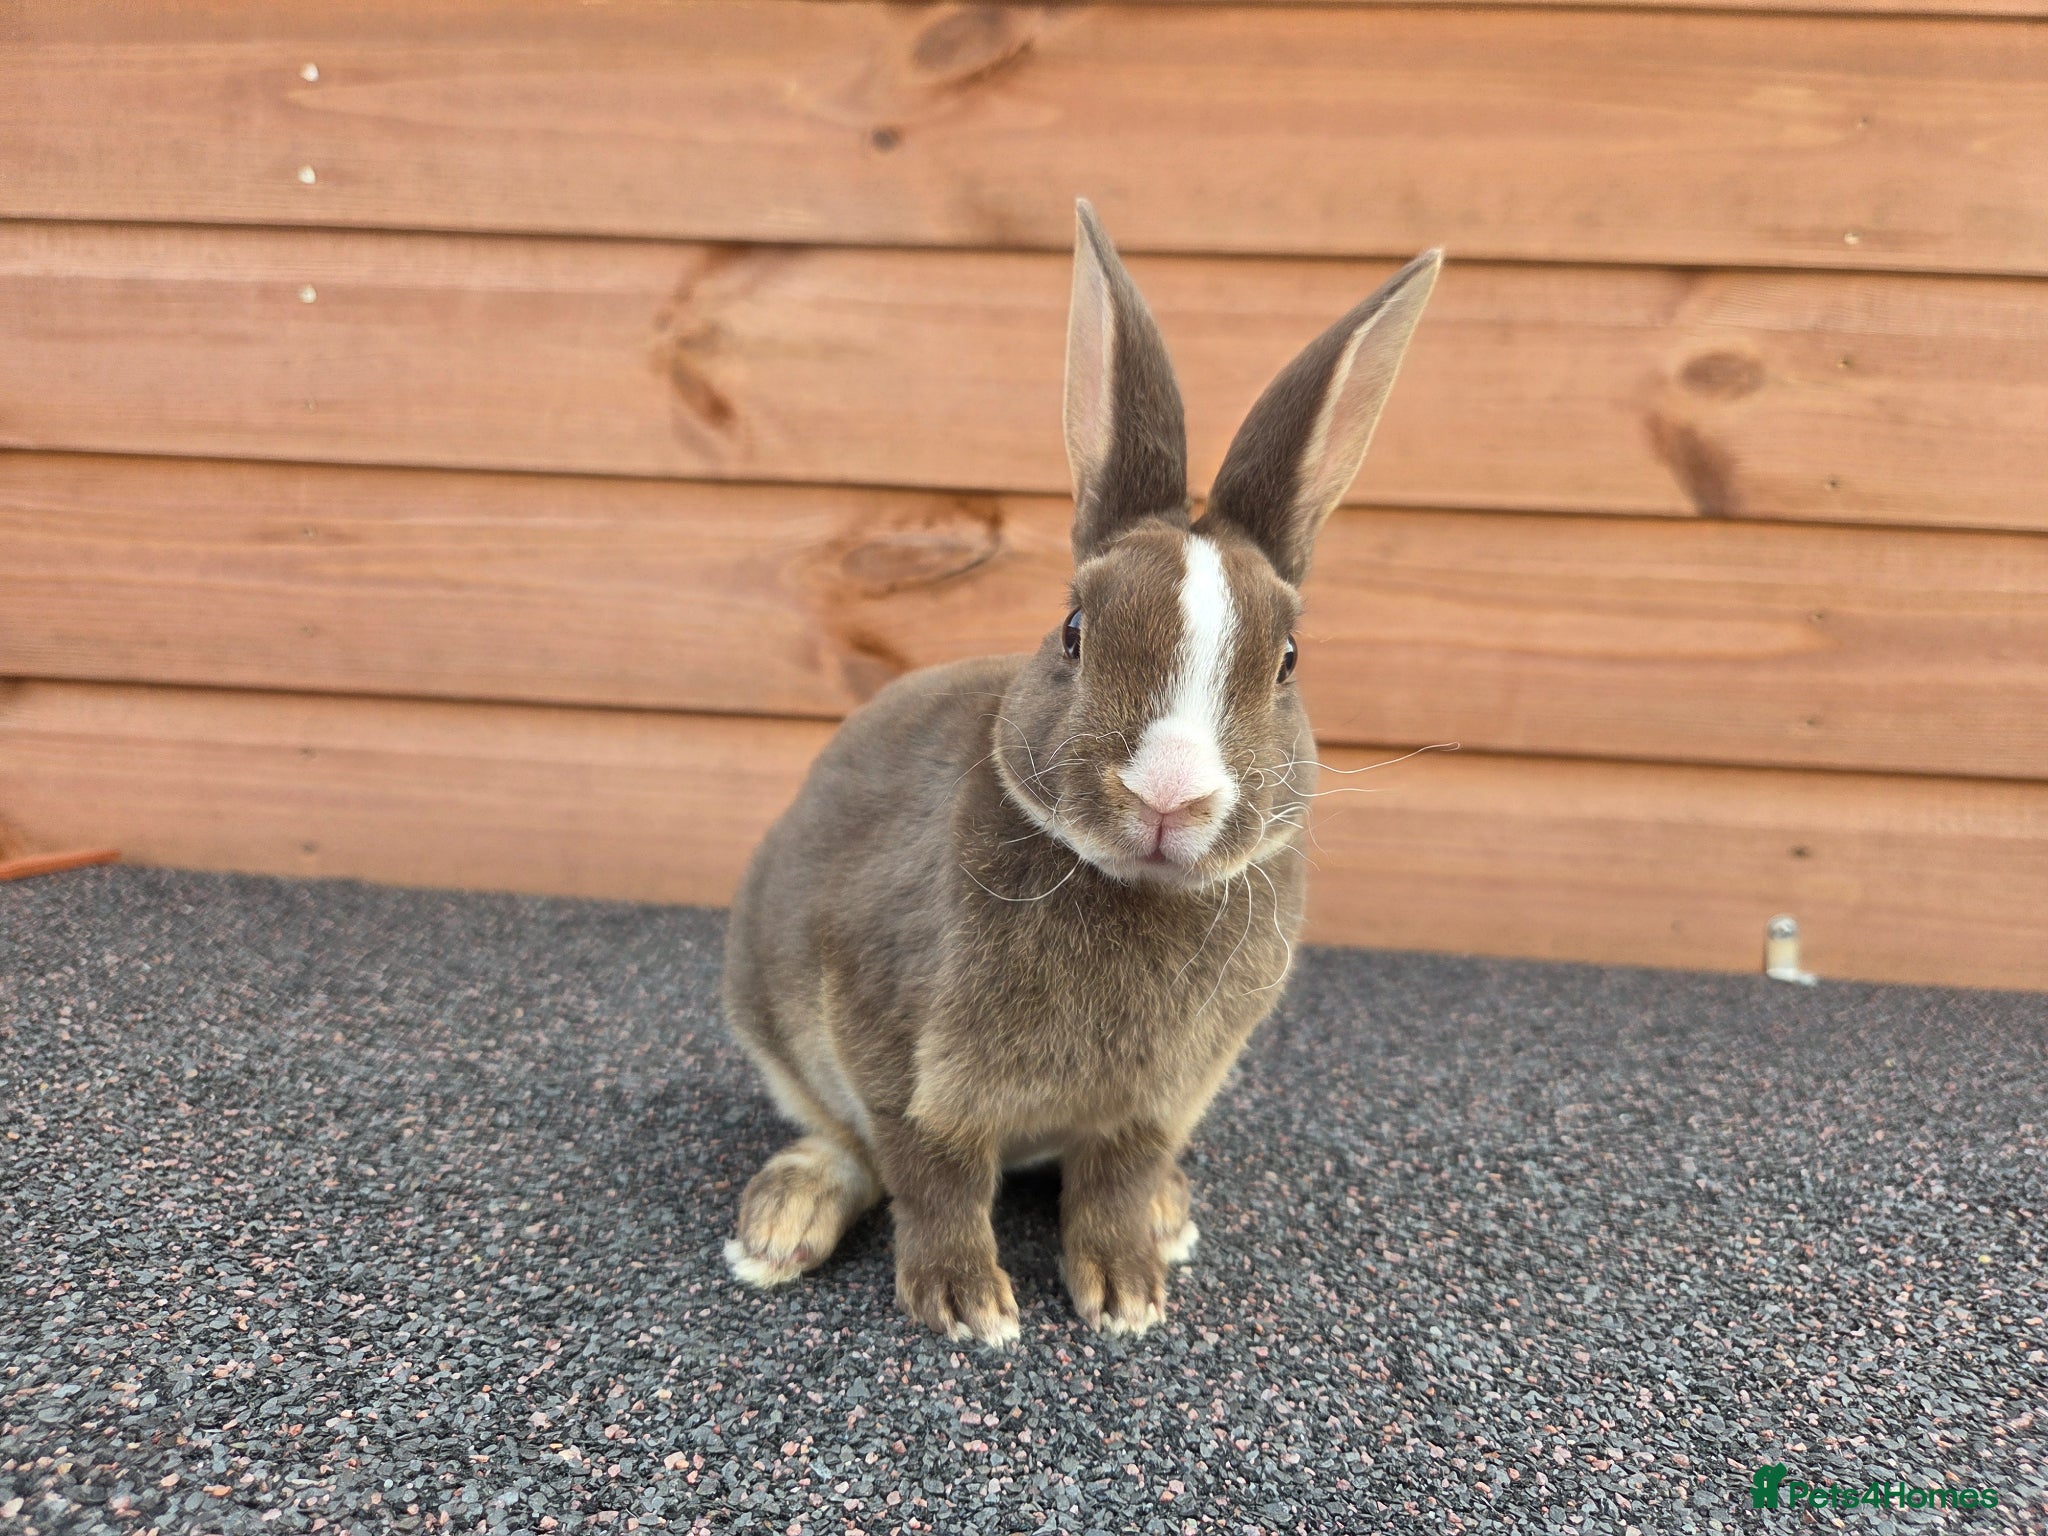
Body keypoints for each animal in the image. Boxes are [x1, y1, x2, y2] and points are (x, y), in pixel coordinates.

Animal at [722, 201, 1440, 1345]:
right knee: (849, 1145)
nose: (1168, 797)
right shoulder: (892, 1044)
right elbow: (929, 1171)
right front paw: (965, 1305)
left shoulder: (1160, 1099)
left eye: (1287, 660)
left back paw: (1170, 1218)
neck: (1128, 889)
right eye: (1071, 632)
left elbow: (1111, 1181)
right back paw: (780, 1226)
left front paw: (1126, 1290)